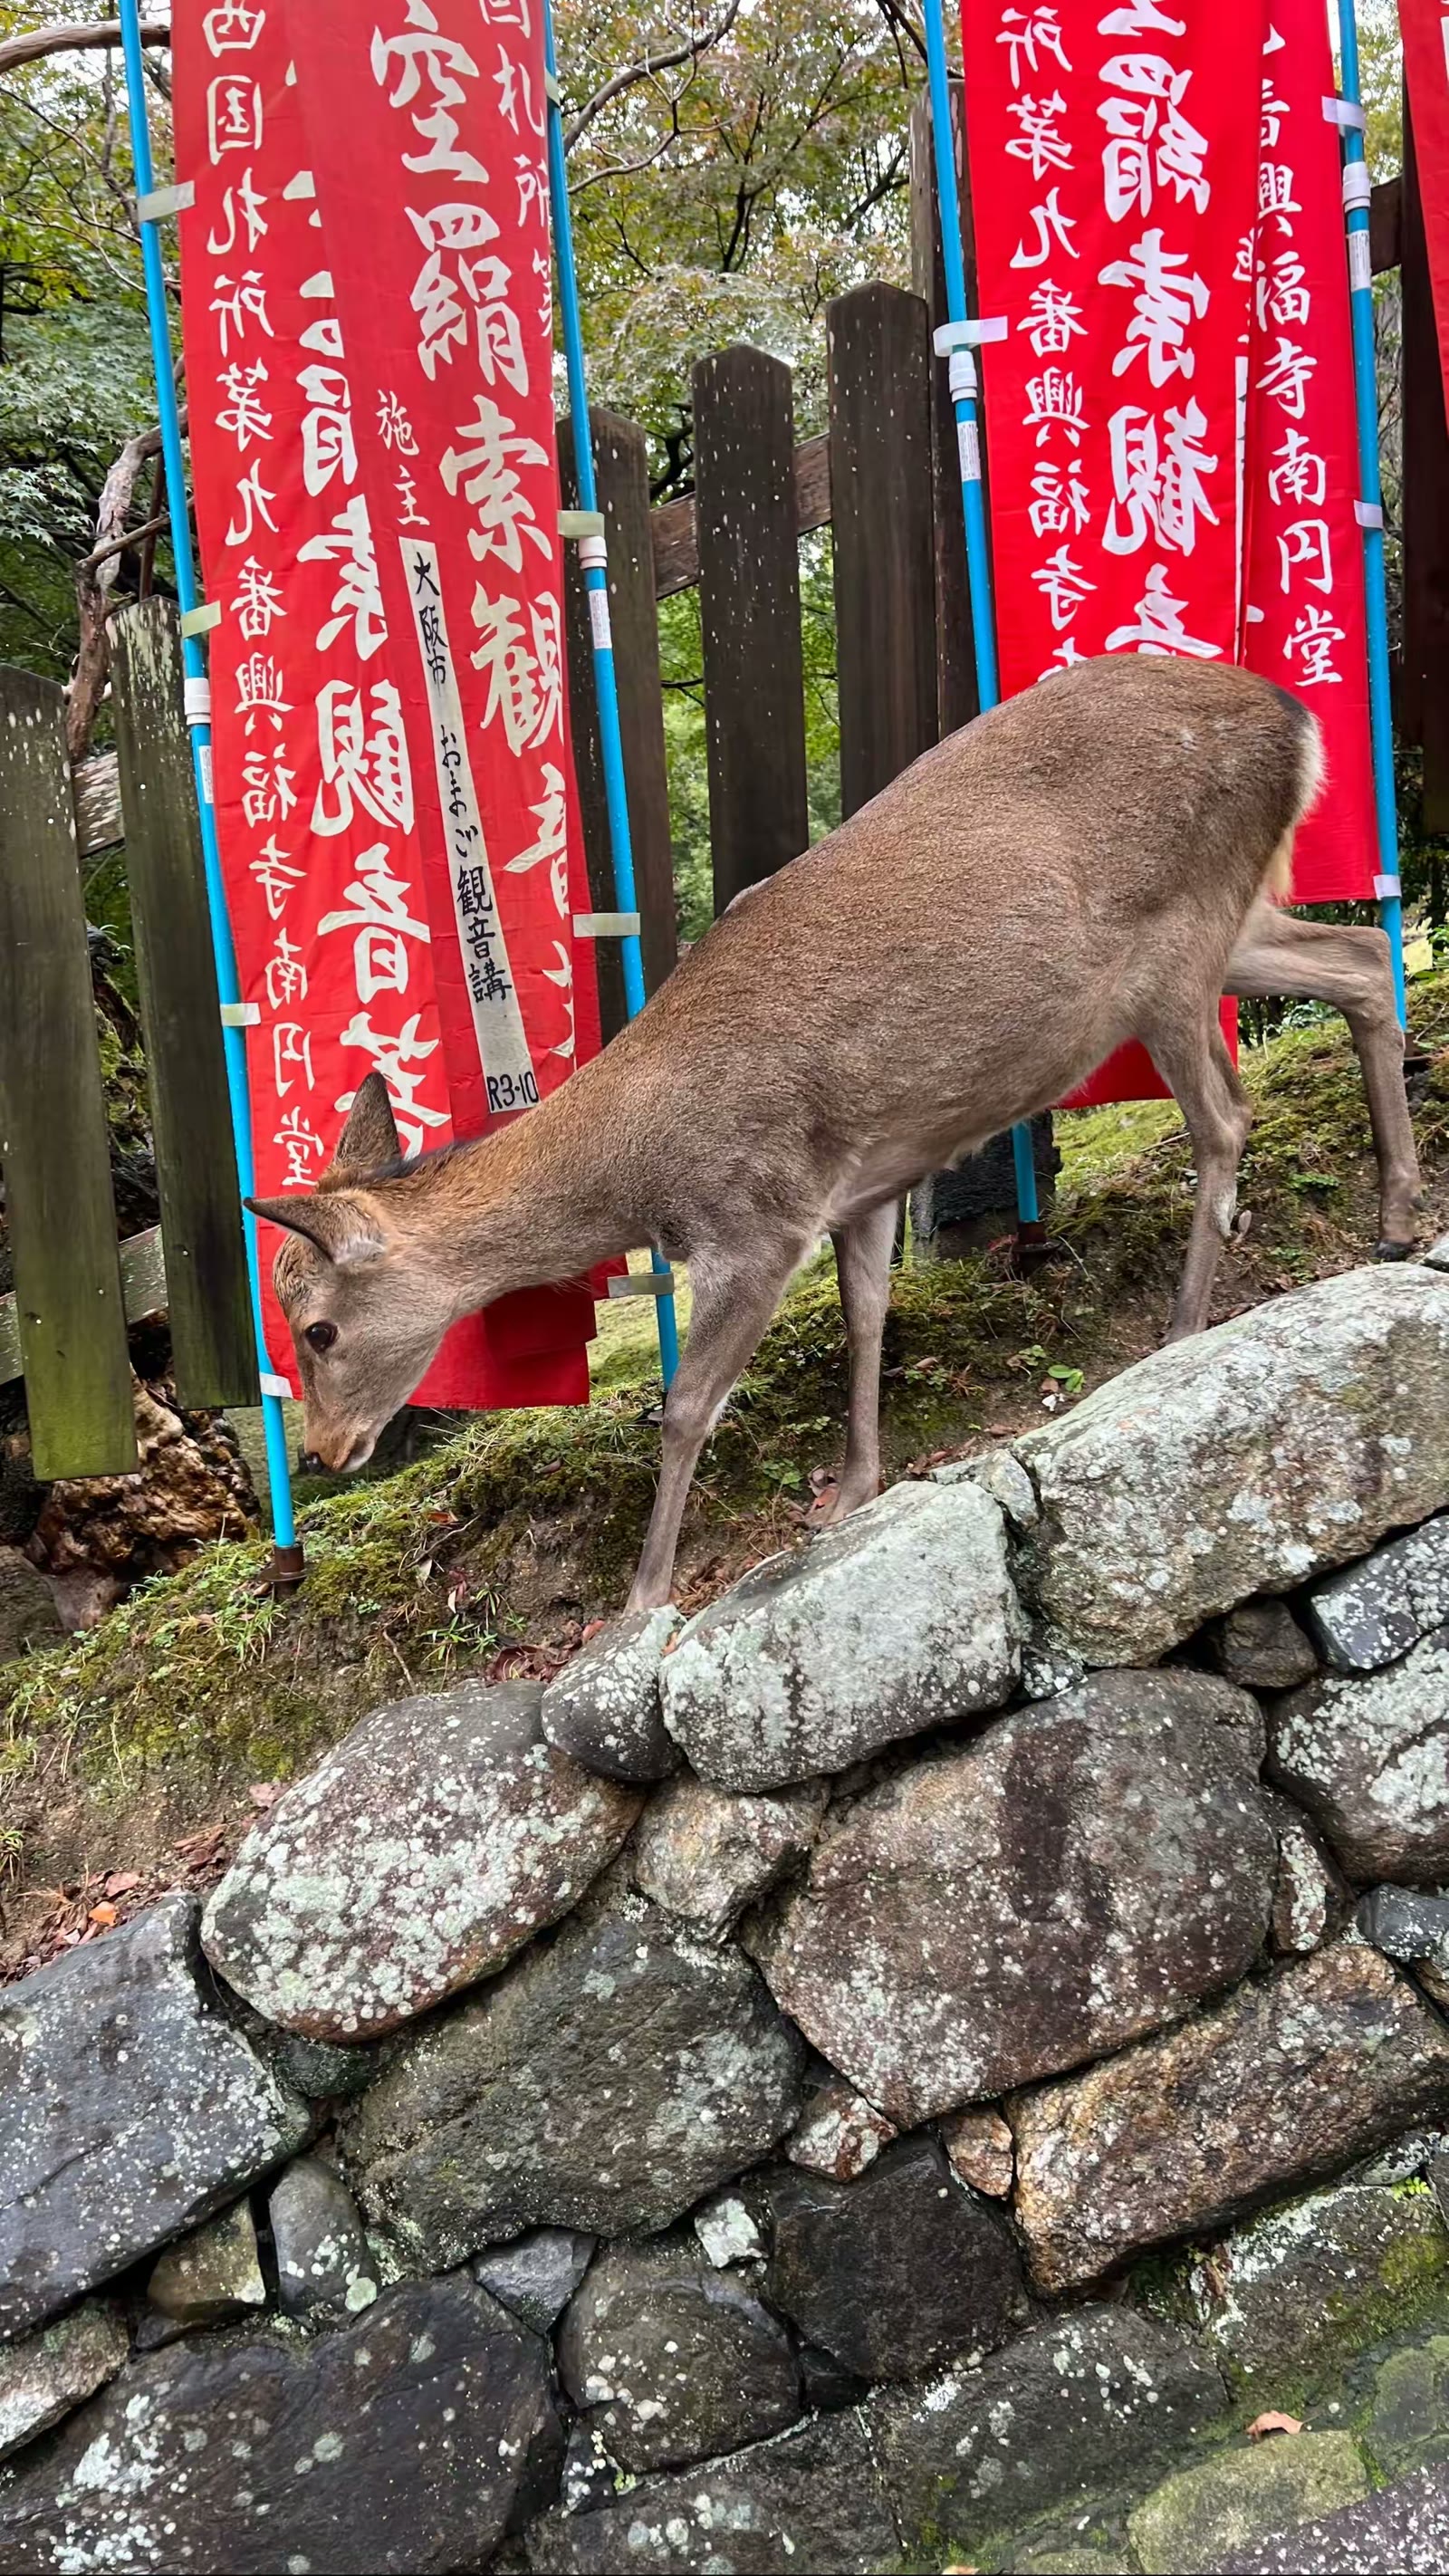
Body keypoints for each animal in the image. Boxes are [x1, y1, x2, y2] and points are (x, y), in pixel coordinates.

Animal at [249, 654, 1422, 1612]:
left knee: (1227, 1114)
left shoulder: (756, 1217)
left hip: (1174, 941)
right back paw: (1398, 1216)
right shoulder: (859, 1186)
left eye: (317, 1330)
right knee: (1363, 960)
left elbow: (687, 1405)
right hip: (1236, 916)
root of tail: (1295, 718)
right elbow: (866, 1321)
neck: (641, 1170)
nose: (328, 1451)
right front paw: (853, 1489)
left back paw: (1183, 1327)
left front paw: (639, 1599)